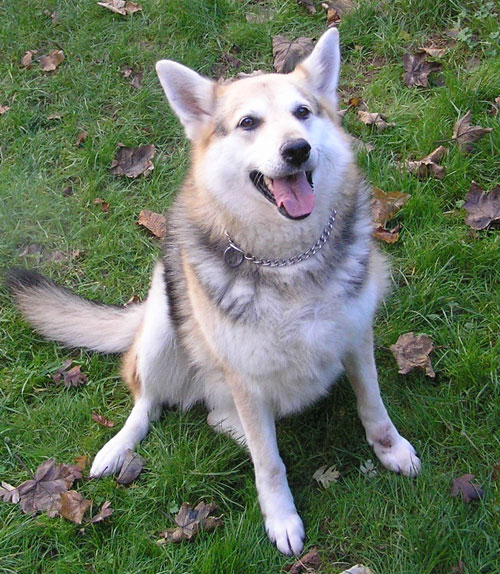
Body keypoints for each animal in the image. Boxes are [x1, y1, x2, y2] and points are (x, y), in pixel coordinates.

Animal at [8, 28, 422, 560]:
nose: (297, 149)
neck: (288, 260)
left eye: (303, 112)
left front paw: (391, 449)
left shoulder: (356, 337)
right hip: (164, 324)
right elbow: (269, 463)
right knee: (153, 403)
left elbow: (374, 407)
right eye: (248, 123)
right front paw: (281, 517)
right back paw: (120, 448)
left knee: (217, 416)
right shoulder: (244, 375)